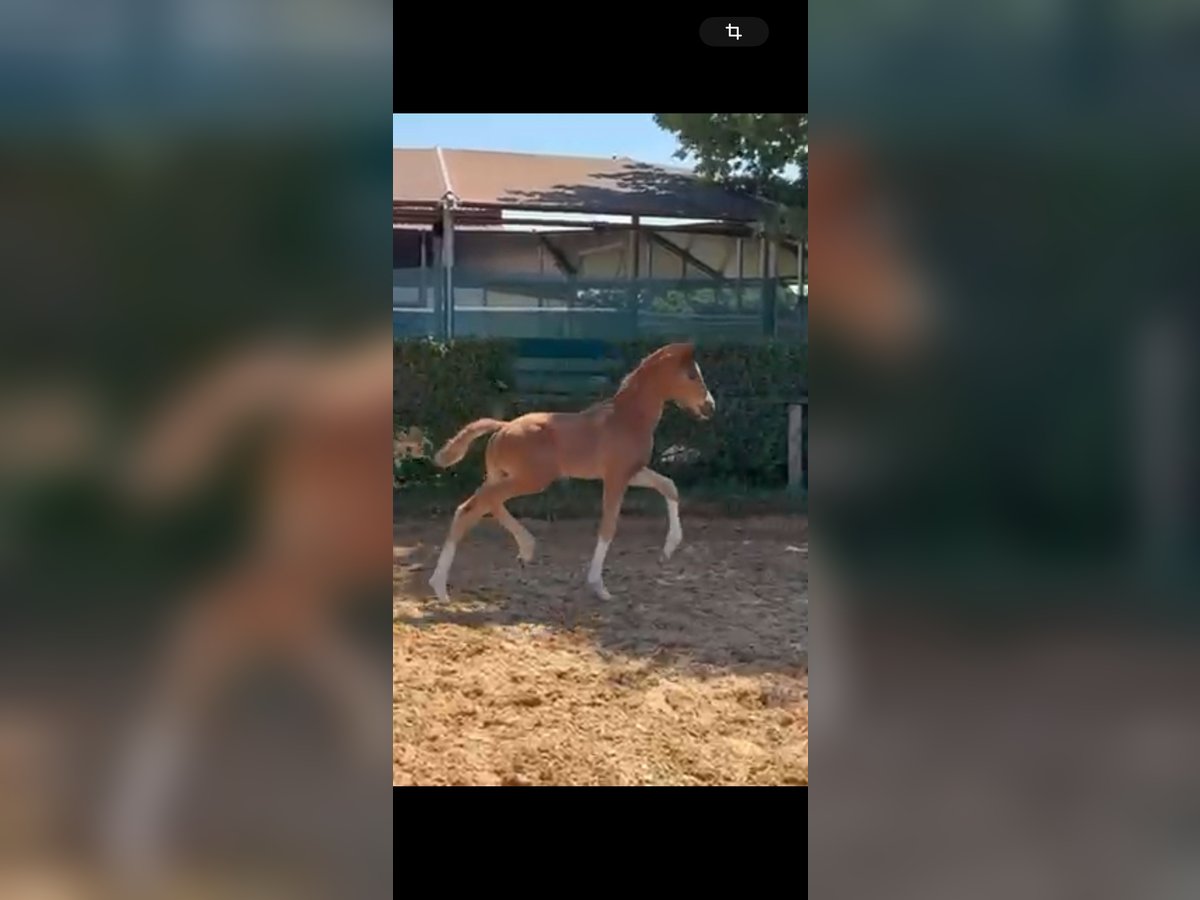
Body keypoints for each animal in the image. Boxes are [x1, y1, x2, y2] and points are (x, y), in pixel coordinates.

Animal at [429, 345, 710, 607]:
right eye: (692, 375)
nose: (710, 405)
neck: (628, 418)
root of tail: (503, 427)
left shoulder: (632, 472)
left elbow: (668, 486)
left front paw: (669, 548)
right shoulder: (616, 477)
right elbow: (608, 526)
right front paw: (598, 586)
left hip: (503, 475)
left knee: (486, 503)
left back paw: (525, 548)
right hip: (531, 479)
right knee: (472, 507)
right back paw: (440, 587)